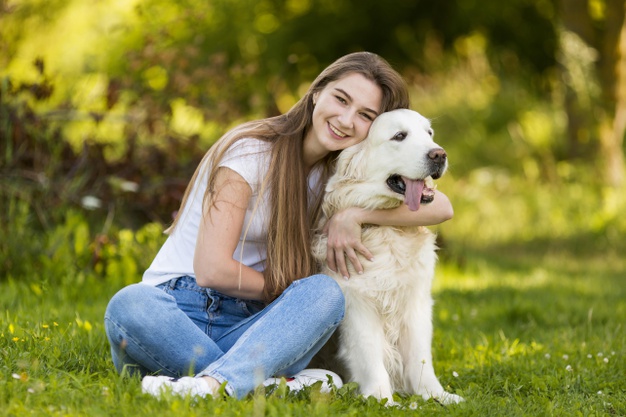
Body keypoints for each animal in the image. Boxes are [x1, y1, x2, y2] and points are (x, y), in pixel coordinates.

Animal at [312, 109, 464, 404]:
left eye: (429, 133)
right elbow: (371, 356)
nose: (439, 154)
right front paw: (381, 399)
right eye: (399, 136)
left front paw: (435, 395)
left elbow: (420, 358)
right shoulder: (358, 304)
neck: (388, 230)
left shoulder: (416, 303)